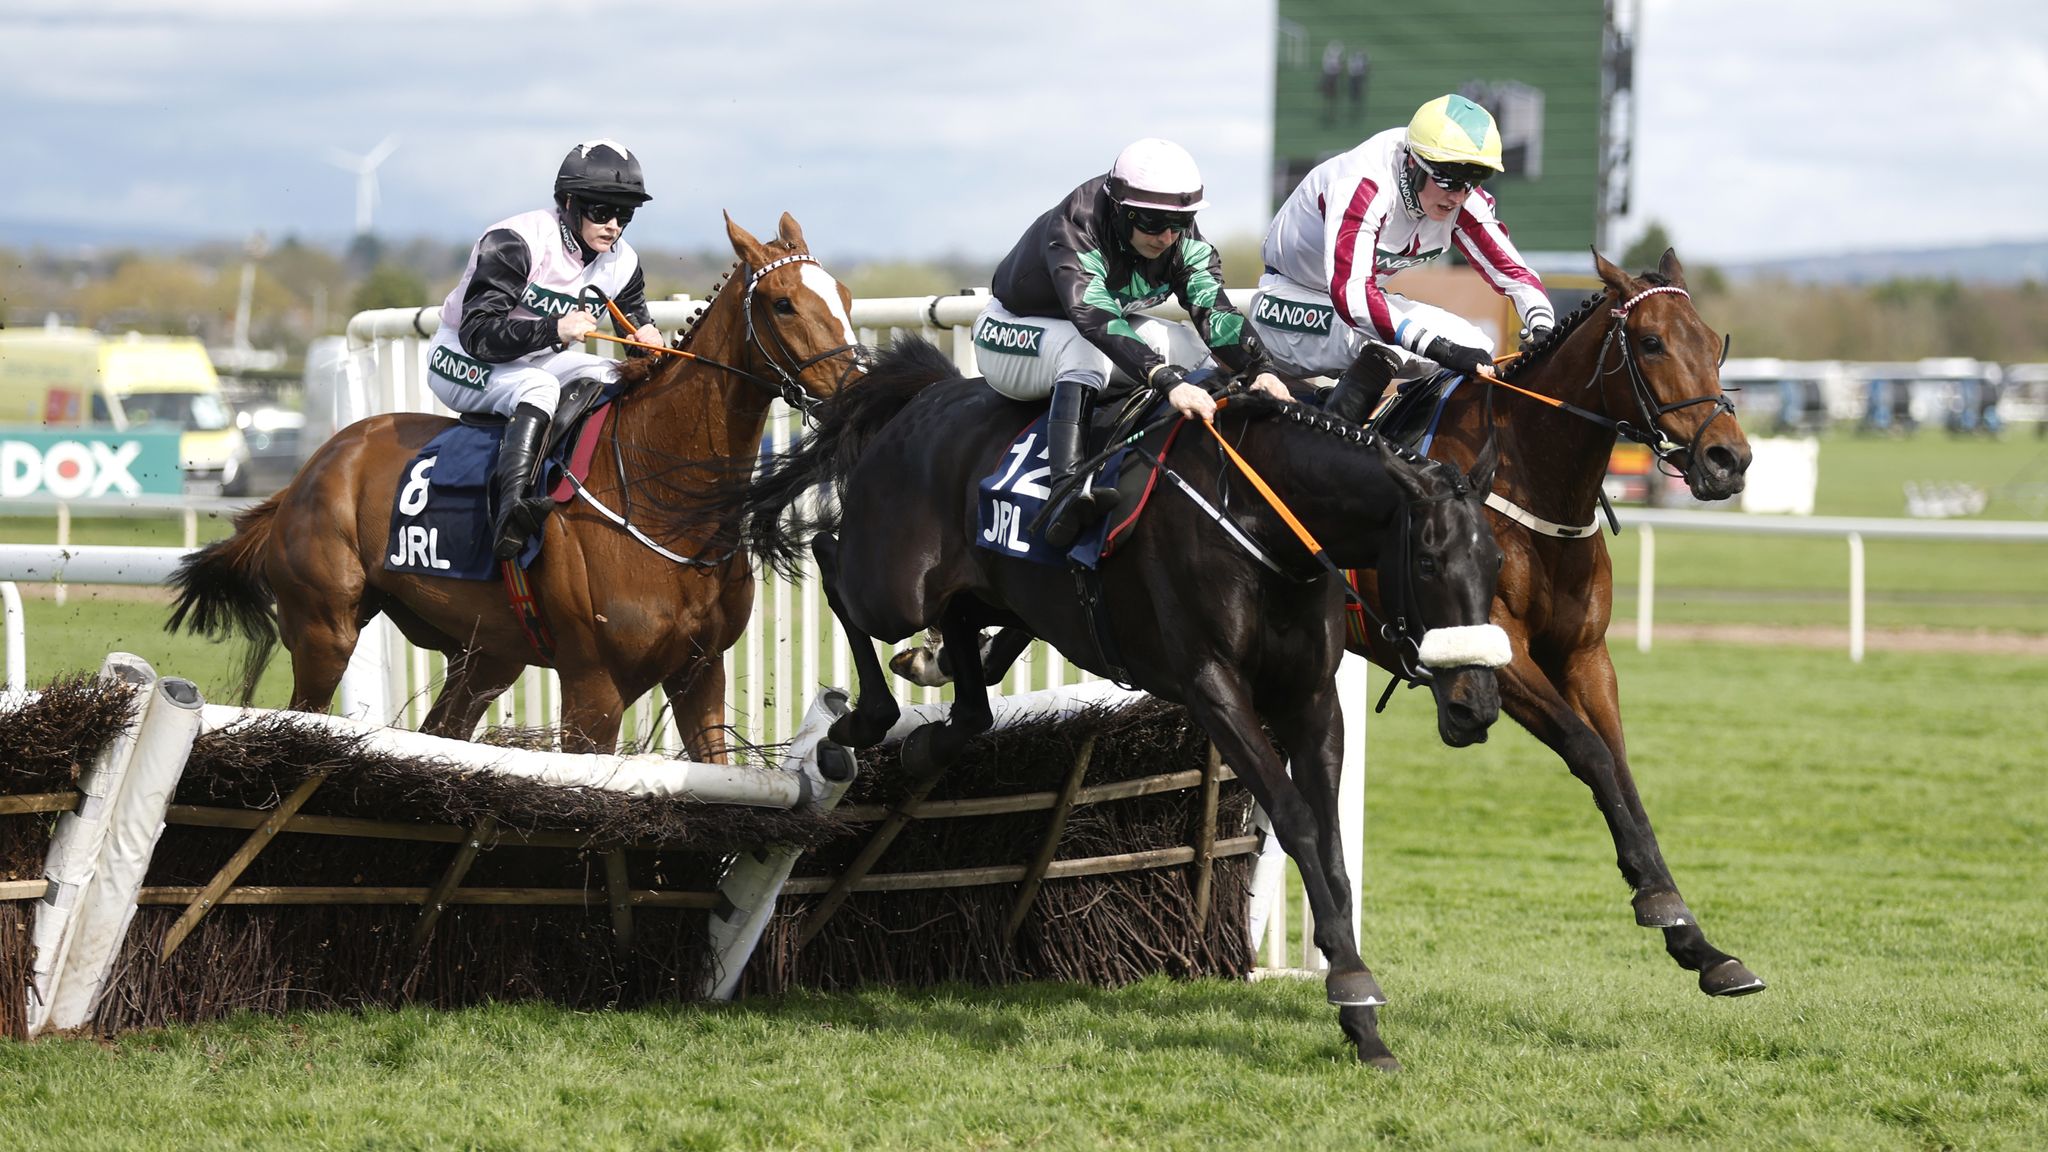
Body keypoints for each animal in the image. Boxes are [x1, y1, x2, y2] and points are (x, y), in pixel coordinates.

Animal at [163, 213, 860, 754]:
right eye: (784, 303)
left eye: (847, 298)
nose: (857, 391)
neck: (661, 496)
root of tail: (310, 470)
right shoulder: (592, 687)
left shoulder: (700, 672)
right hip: (324, 631)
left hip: (485, 657)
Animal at [729, 330, 1515, 1057]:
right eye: (1428, 559)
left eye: (1498, 562)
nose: (1475, 704)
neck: (1259, 518)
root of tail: (929, 393)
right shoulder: (1212, 686)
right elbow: (1294, 818)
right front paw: (1351, 990)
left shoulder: (1312, 699)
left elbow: (1328, 840)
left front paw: (1362, 1016)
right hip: (895, 585)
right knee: (832, 560)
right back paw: (860, 724)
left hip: (989, 588)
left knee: (967, 672)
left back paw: (931, 727)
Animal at [905, 249, 1769, 996]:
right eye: (1651, 342)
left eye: (1715, 343)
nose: (1728, 460)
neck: (1527, 478)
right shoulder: (1500, 650)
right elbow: (1588, 752)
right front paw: (1666, 911)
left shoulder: (1586, 655)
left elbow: (1619, 771)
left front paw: (1695, 938)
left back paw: (942, 654)